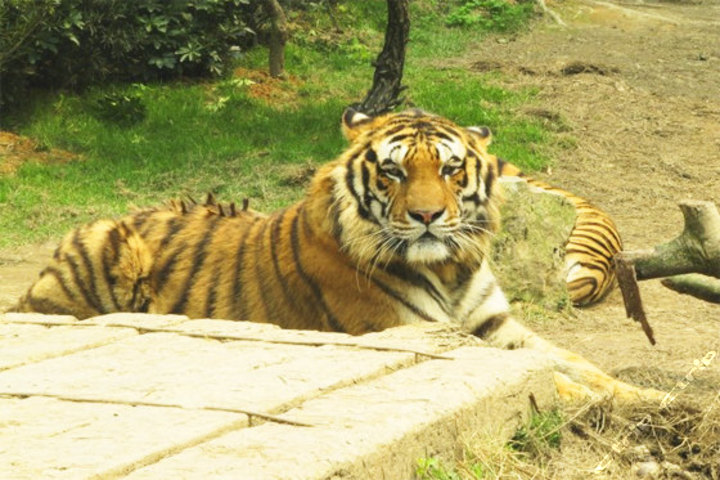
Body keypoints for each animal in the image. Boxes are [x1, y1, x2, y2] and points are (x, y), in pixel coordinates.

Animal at [11, 108, 660, 402]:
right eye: (394, 171)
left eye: (451, 168)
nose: (428, 216)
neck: (450, 267)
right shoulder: (415, 331)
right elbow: (558, 381)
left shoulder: (496, 327)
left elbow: (580, 365)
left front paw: (654, 397)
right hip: (101, 247)